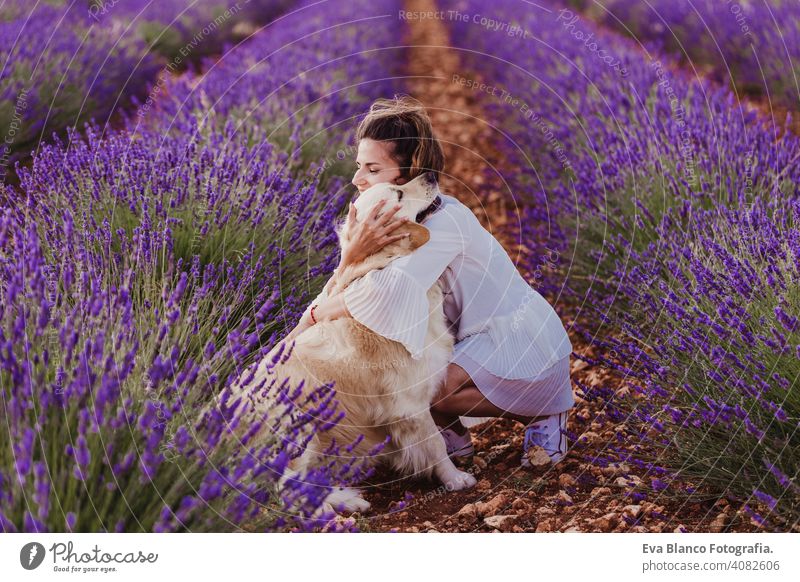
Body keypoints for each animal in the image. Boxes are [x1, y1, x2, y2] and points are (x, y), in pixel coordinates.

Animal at [225, 171, 476, 512]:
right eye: (398, 193)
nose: (431, 175)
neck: (385, 267)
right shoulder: (408, 404)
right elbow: (435, 442)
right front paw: (454, 478)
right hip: (299, 429)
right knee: (288, 490)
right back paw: (332, 510)